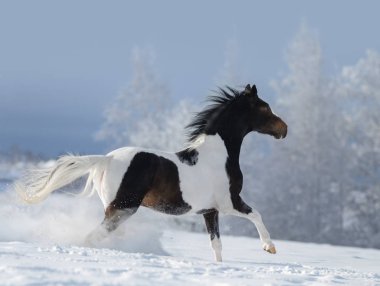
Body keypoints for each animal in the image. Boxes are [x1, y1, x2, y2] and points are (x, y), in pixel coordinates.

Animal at [16, 84, 286, 262]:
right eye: (265, 108)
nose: (284, 129)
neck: (219, 154)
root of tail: (107, 159)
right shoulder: (229, 202)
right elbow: (256, 215)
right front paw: (269, 247)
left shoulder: (210, 211)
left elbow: (216, 245)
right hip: (123, 207)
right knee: (93, 236)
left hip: (116, 209)